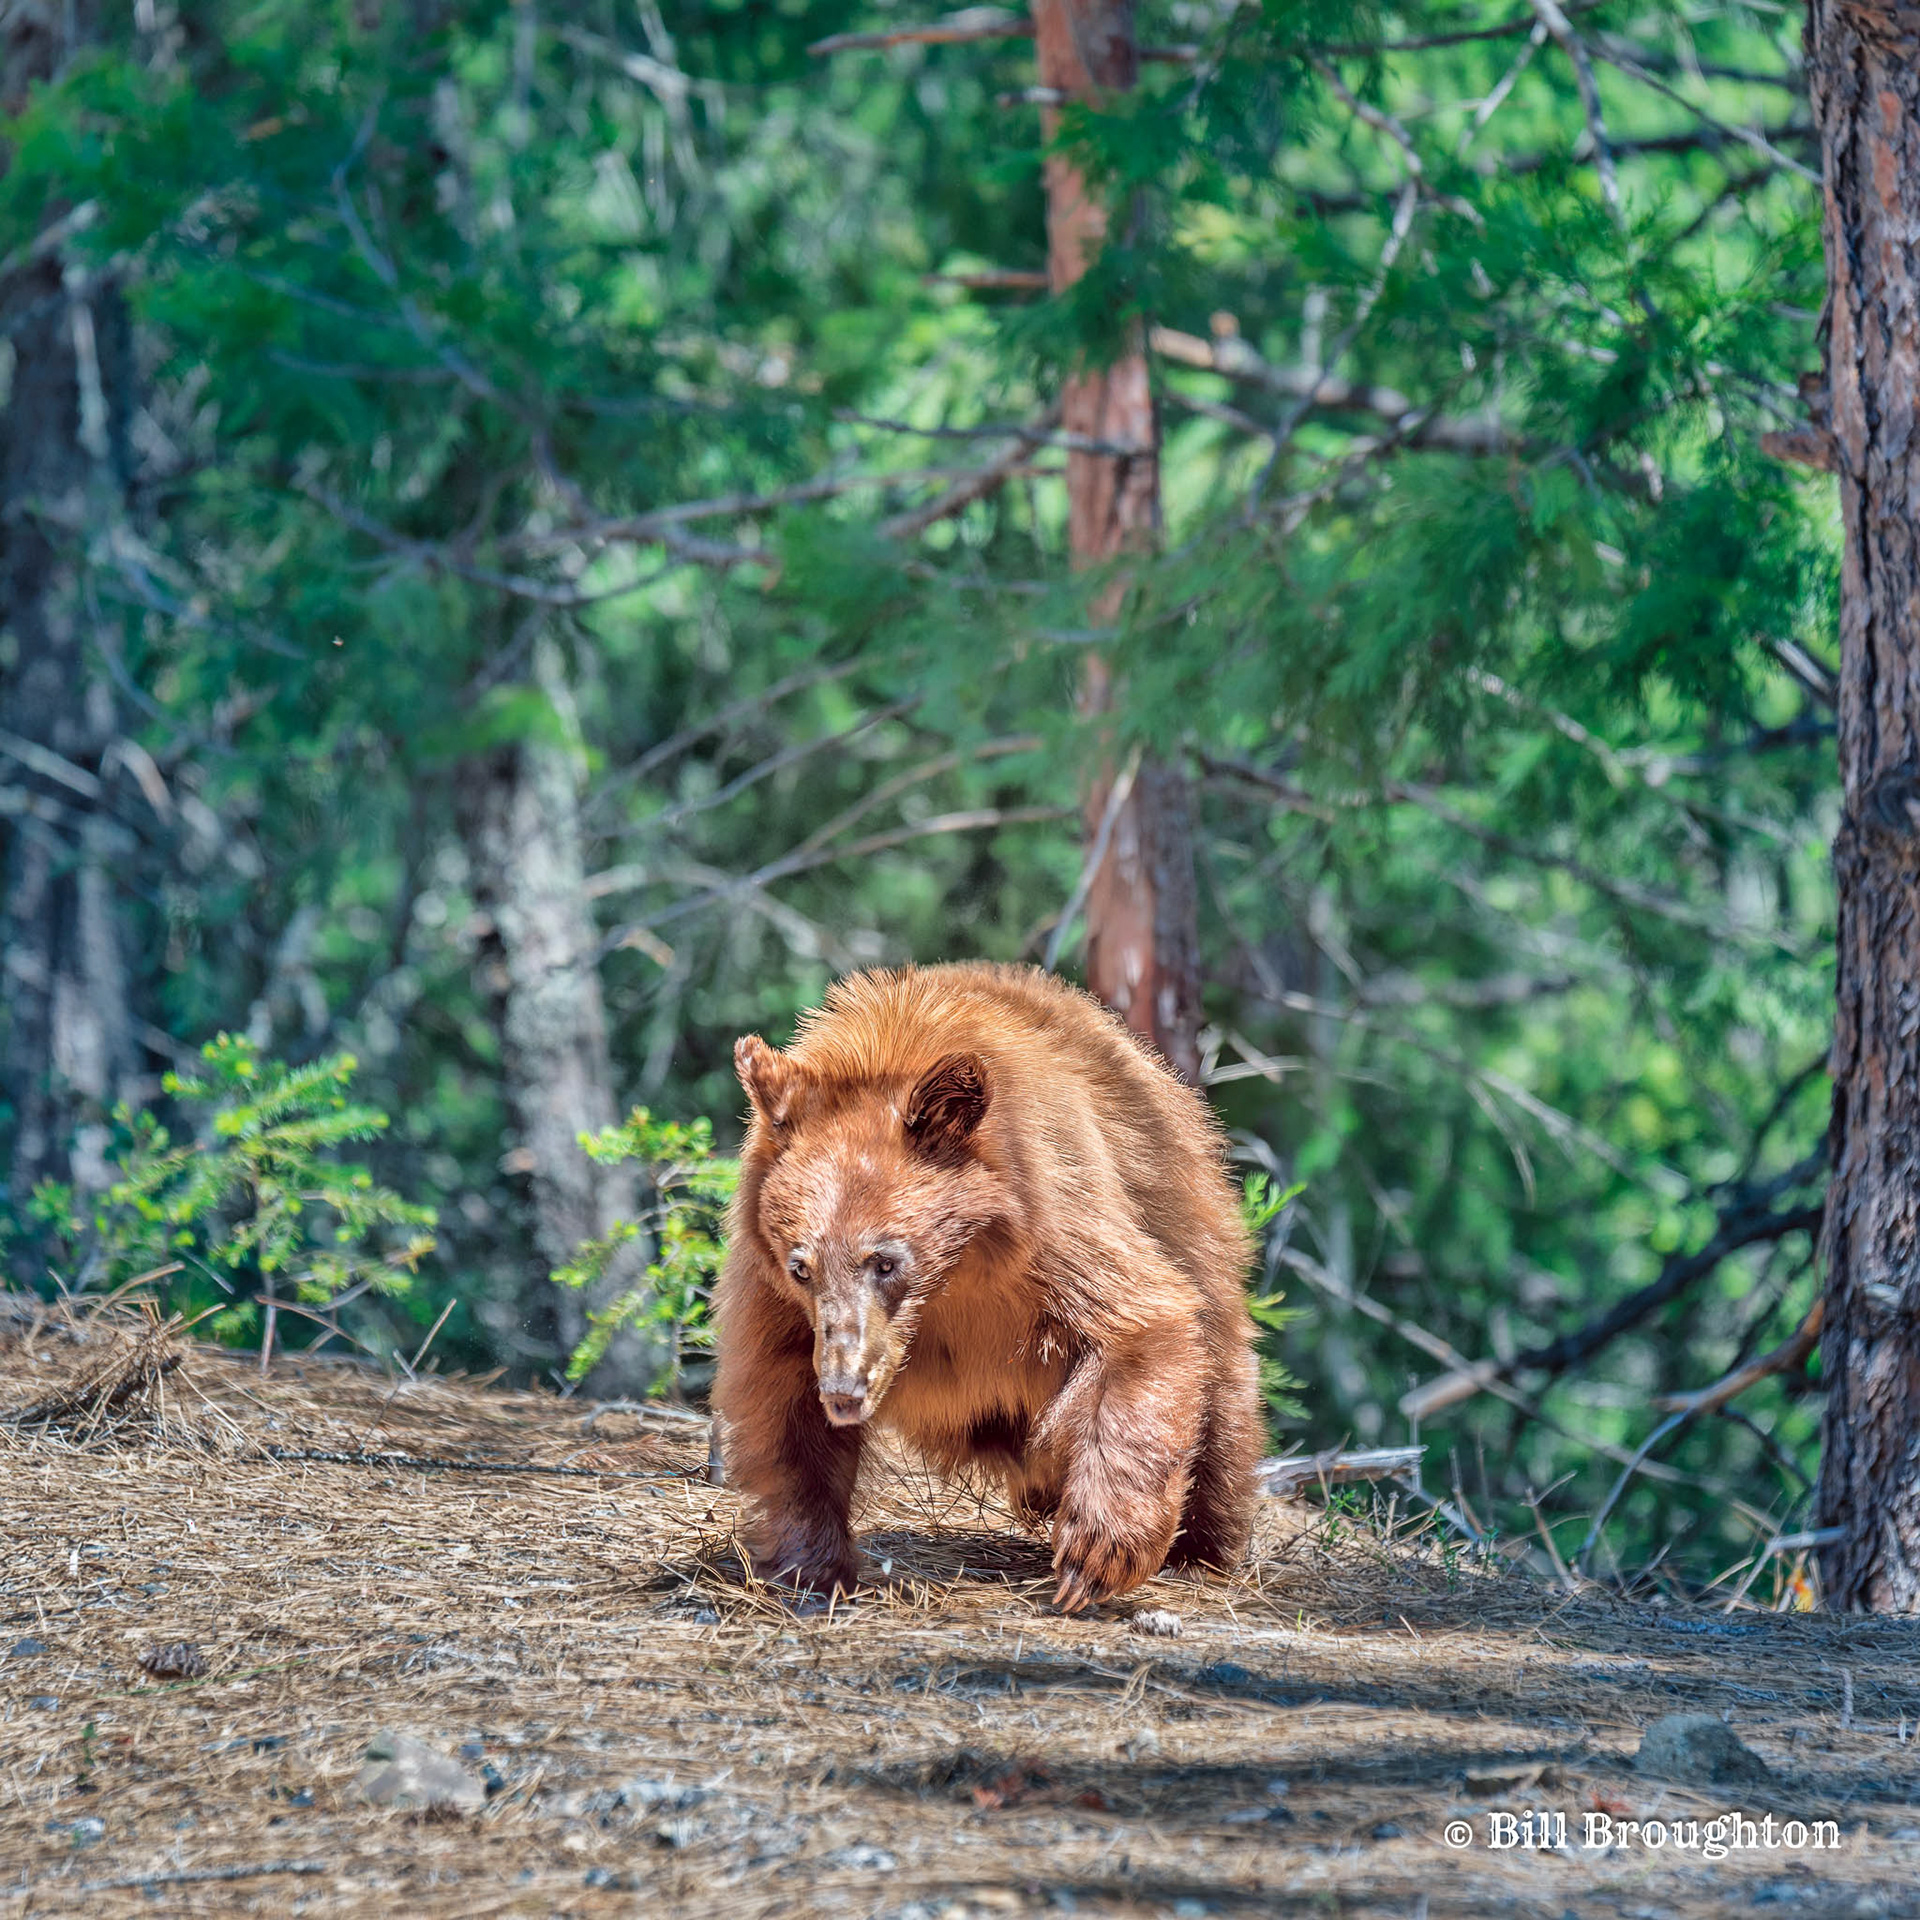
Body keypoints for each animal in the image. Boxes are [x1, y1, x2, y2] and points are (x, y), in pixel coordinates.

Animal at [710, 960, 1264, 1611]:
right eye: (801, 1267)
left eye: (885, 1262)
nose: (845, 1391)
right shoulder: (774, 1292)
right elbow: (782, 1397)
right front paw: (813, 1566)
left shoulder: (1057, 1215)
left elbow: (1141, 1322)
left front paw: (1093, 1557)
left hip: (1187, 1219)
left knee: (1217, 1395)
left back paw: (1199, 1545)